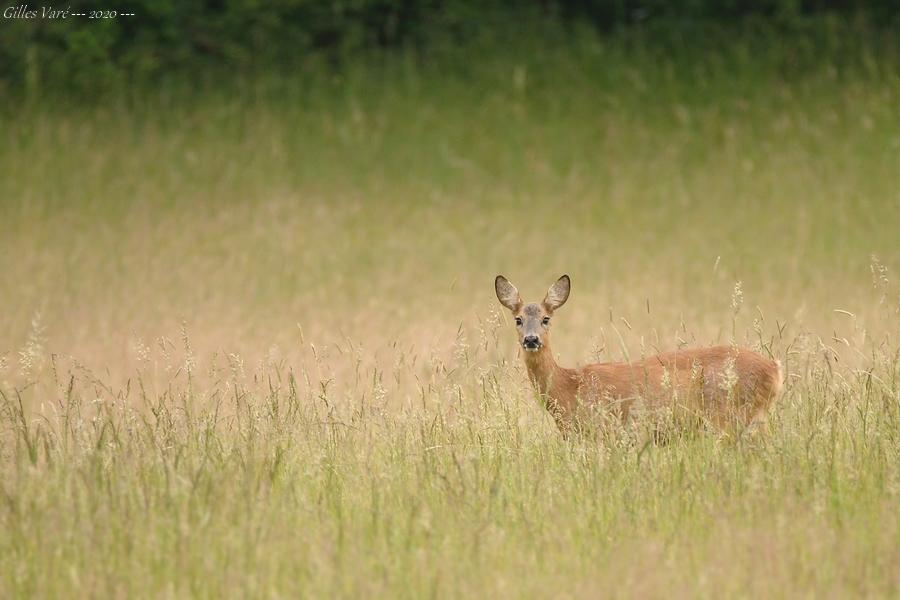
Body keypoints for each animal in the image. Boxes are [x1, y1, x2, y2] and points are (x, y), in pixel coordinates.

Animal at [496, 274, 784, 436]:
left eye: (546, 319)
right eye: (518, 319)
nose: (531, 340)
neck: (569, 387)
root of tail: (775, 369)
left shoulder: (605, 432)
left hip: (731, 416)